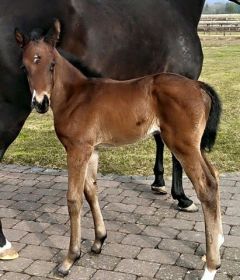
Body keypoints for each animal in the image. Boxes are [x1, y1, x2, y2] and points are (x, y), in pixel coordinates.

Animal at [15, 20, 223, 278]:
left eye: (51, 64)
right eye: (24, 67)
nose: (40, 103)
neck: (76, 96)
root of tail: (199, 86)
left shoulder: (76, 150)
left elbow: (74, 199)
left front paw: (70, 258)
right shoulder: (91, 150)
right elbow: (91, 191)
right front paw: (98, 241)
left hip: (183, 145)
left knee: (207, 187)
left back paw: (211, 266)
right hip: (195, 146)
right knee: (215, 176)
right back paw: (218, 242)